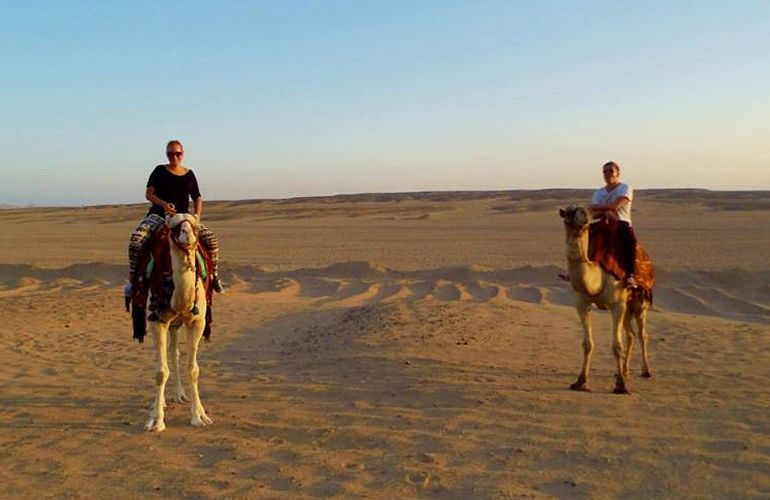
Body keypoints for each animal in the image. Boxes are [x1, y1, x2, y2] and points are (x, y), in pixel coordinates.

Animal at [145, 213, 212, 432]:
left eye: (196, 226)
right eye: (174, 226)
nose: (187, 235)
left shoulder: (197, 323)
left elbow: (193, 369)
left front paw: (199, 416)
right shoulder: (157, 322)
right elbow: (160, 371)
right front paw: (156, 420)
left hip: (177, 325)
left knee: (174, 354)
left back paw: (182, 396)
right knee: (169, 356)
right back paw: (162, 402)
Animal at [560, 205, 648, 392]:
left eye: (585, 211)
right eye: (569, 212)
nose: (584, 217)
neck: (597, 275)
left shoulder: (617, 304)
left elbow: (617, 345)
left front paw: (620, 386)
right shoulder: (582, 303)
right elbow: (587, 344)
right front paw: (580, 381)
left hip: (639, 303)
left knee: (642, 334)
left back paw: (645, 371)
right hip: (627, 308)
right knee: (630, 335)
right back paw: (624, 370)